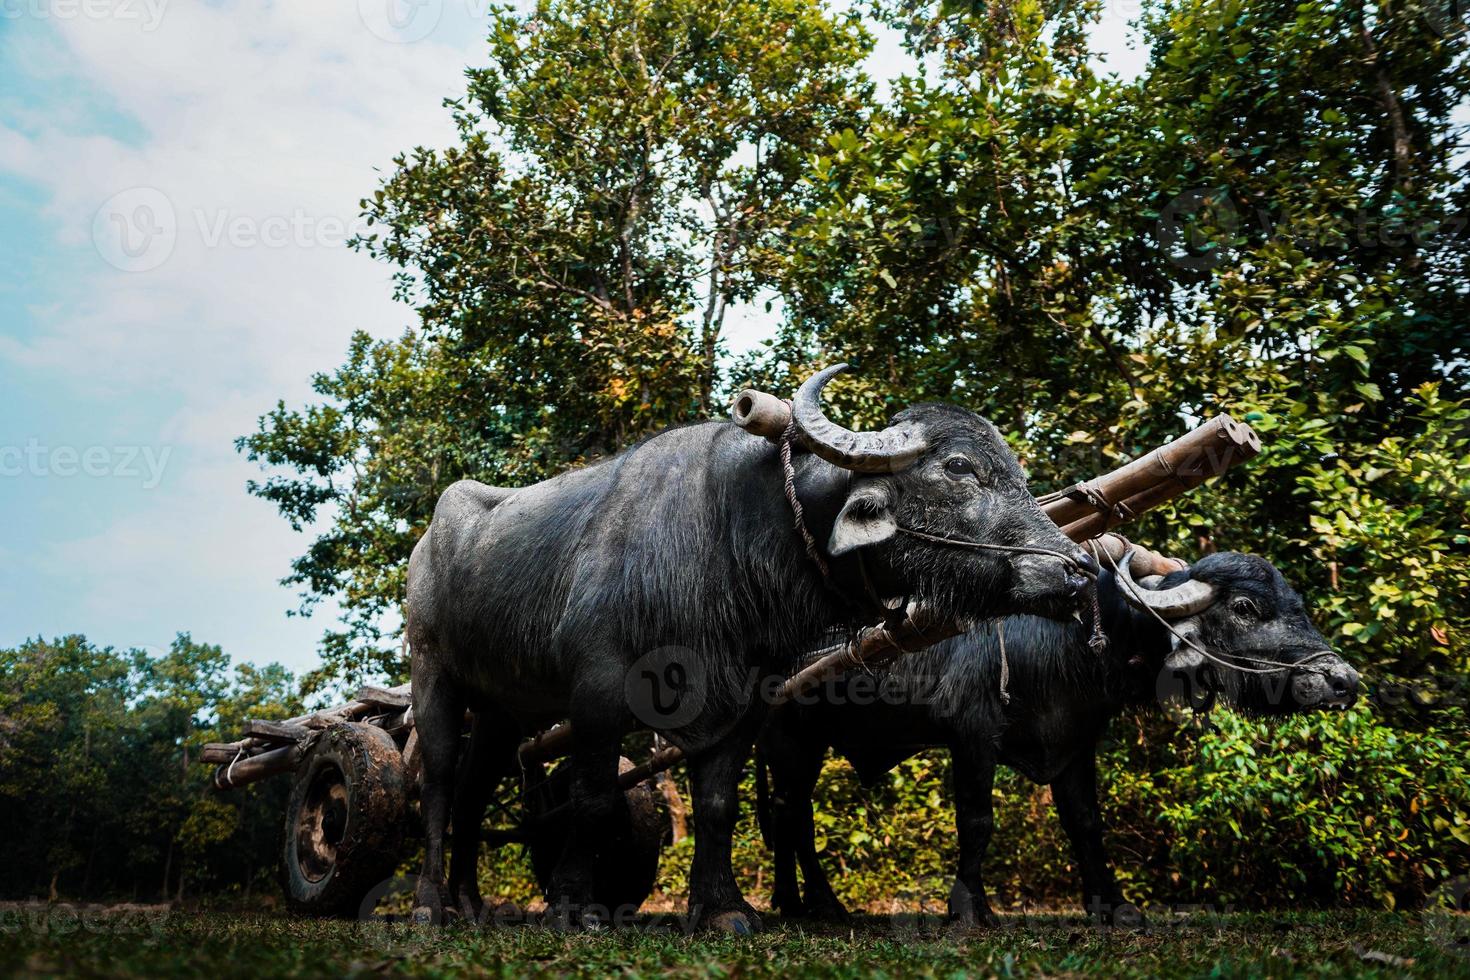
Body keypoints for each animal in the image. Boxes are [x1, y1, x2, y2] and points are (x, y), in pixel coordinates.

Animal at [408, 364, 1099, 934]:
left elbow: (718, 804)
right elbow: (594, 798)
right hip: (431, 673)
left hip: (502, 711)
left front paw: (721, 908)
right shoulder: (597, 693)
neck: (727, 539)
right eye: (959, 468)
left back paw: (470, 902)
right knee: (438, 783)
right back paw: (431, 905)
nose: (1075, 571)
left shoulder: (740, 704)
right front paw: (574, 905)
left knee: (472, 792)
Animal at [764, 552, 1358, 928]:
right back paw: (821, 904)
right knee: (794, 815)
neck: (1072, 636)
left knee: (786, 816)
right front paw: (970, 907)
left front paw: (1113, 905)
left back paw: (790, 902)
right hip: (793, 739)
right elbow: (977, 821)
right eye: (1245, 609)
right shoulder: (972, 735)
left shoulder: (1076, 744)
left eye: (1297, 603)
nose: (1343, 681)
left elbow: (1086, 824)